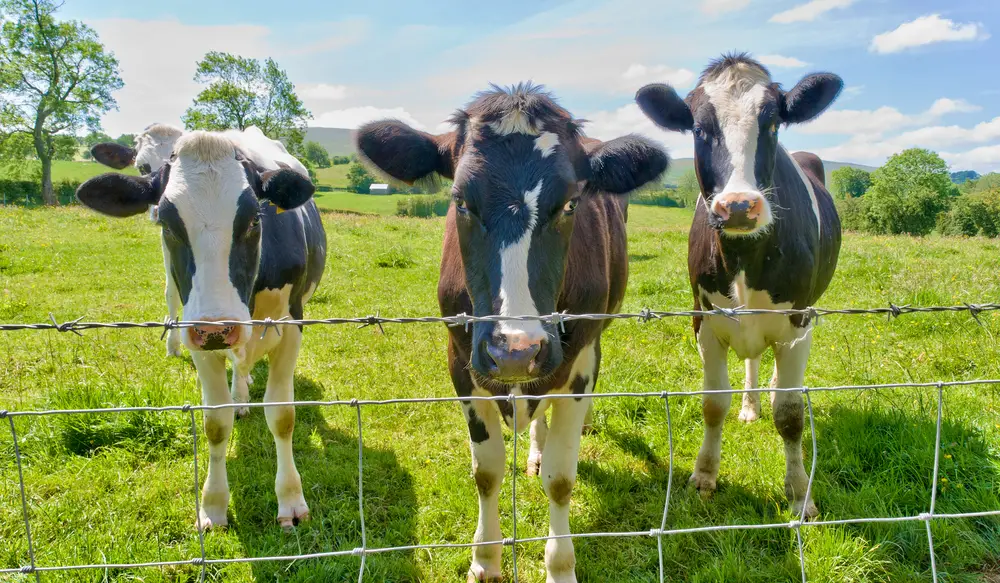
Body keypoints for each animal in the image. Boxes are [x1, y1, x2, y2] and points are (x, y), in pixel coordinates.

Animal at [79, 130, 328, 532]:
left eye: (254, 220)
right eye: (167, 224)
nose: (218, 326)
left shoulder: (292, 325)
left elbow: (282, 416)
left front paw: (290, 499)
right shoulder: (195, 331)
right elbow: (215, 423)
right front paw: (213, 504)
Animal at [356, 83, 668, 583]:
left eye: (570, 203)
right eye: (461, 201)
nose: (515, 351)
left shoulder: (578, 363)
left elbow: (561, 478)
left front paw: (560, 567)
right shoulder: (460, 359)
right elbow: (486, 471)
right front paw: (485, 559)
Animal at [632, 53, 844, 520]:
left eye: (773, 124)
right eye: (698, 128)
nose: (740, 206)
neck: (745, 257)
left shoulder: (798, 323)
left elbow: (790, 413)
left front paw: (800, 494)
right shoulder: (704, 320)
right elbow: (713, 403)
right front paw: (704, 475)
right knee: (751, 360)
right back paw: (749, 406)